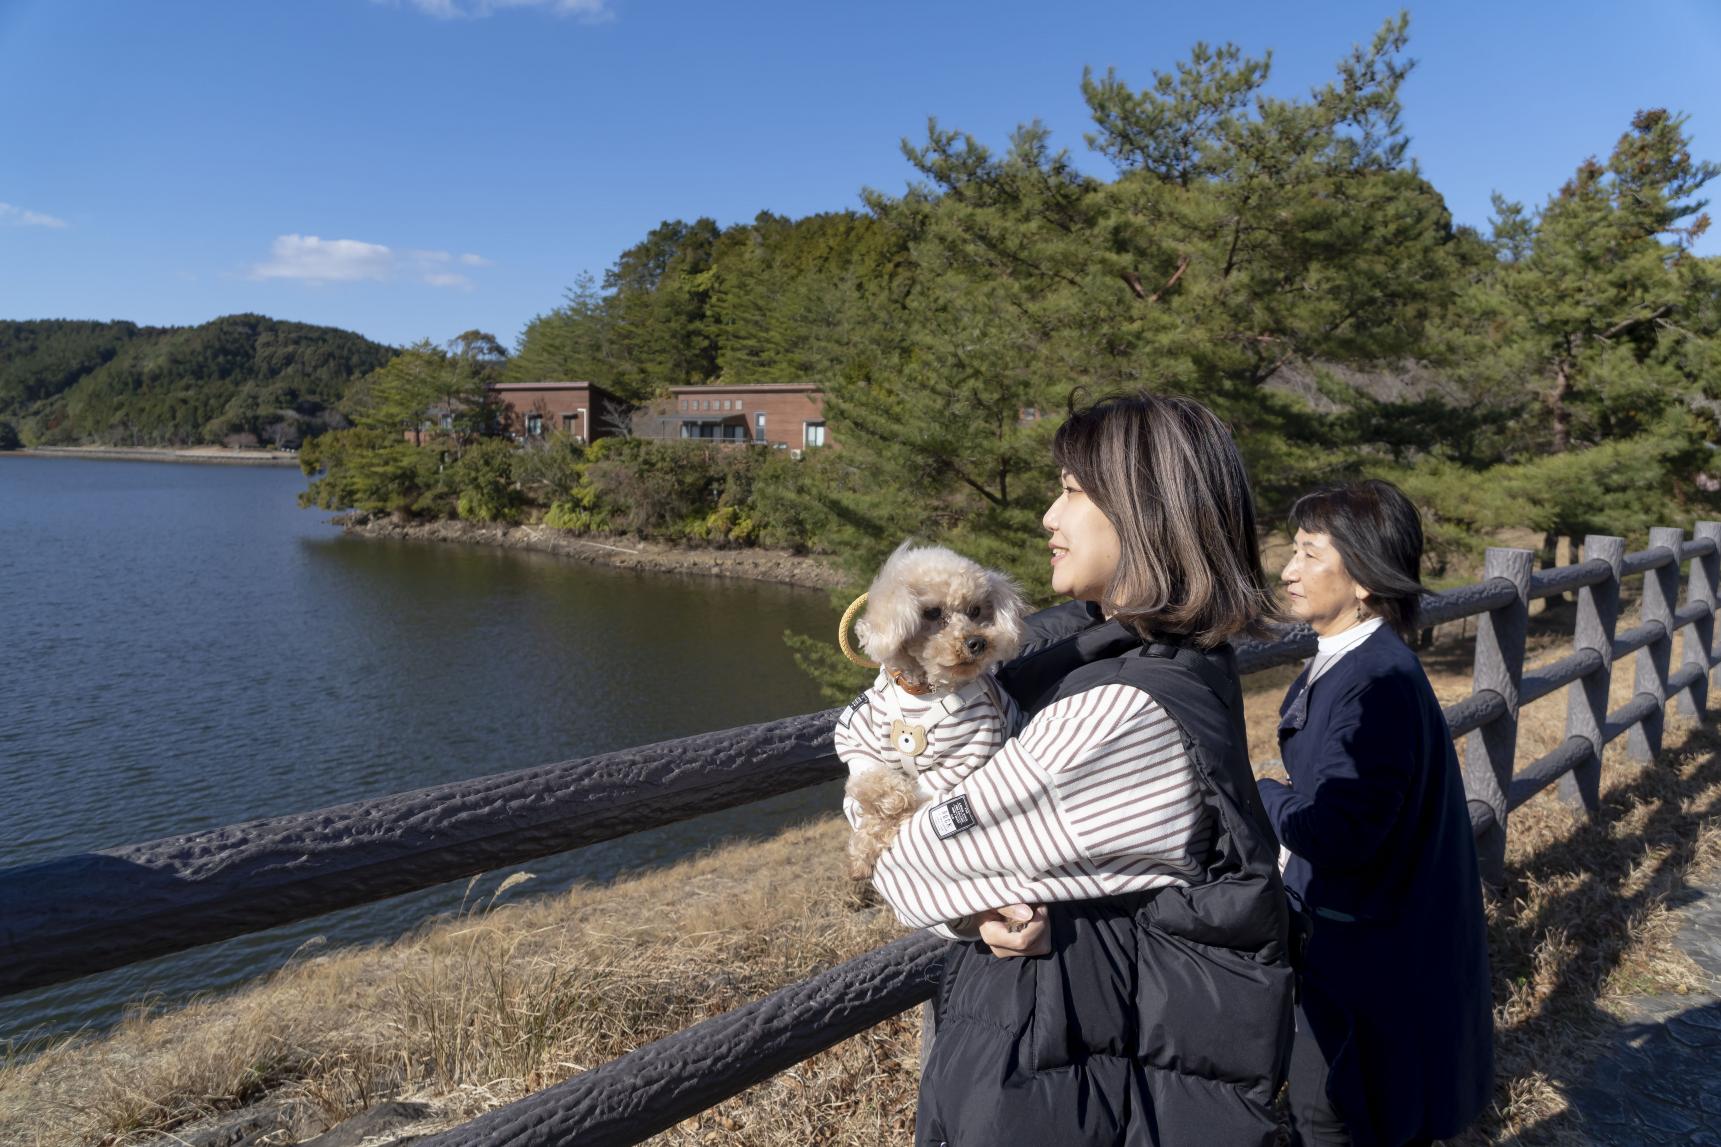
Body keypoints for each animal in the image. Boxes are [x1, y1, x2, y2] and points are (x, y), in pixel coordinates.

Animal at [836, 540, 1025, 878]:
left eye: (976, 610)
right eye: (933, 612)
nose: (976, 642)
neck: (923, 690)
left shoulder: (965, 751)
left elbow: (907, 803)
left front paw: (876, 833)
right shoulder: (857, 735)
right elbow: (868, 780)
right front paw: (868, 836)